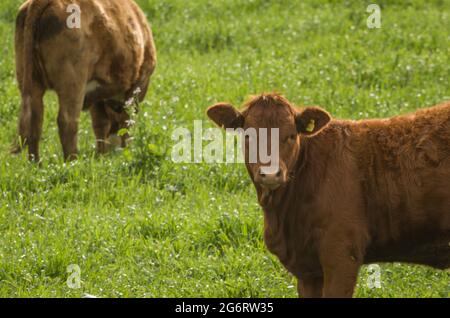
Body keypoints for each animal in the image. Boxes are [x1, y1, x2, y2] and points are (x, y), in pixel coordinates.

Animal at [13, 0, 156, 161]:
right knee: (67, 122)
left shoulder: (99, 96)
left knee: (34, 121)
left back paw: (36, 164)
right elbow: (126, 121)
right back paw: (72, 162)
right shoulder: (139, 84)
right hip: (73, 82)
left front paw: (101, 156)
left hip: (30, 79)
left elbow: (100, 124)